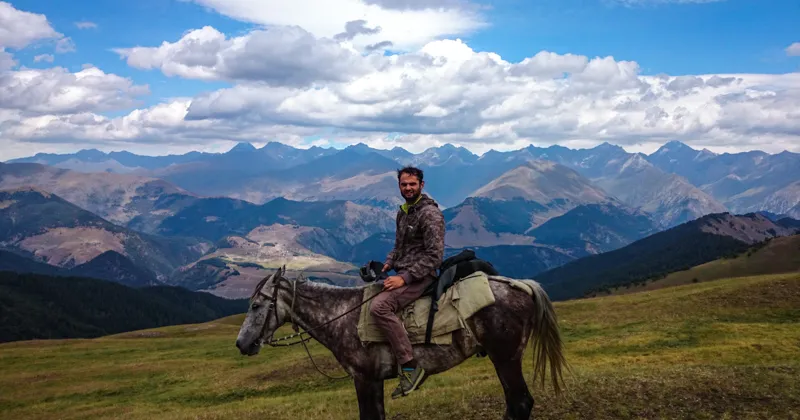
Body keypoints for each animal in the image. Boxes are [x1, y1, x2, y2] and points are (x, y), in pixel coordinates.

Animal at [234, 268, 564, 418]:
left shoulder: (364, 379)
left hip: (505, 358)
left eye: (256, 305)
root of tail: (520, 285)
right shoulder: (375, 380)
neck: (342, 316)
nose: (241, 344)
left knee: (520, 402)